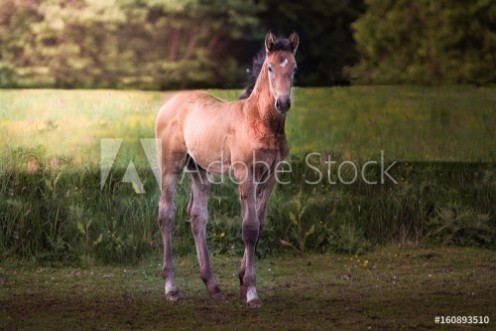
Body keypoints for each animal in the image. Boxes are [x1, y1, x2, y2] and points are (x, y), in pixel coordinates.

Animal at [155, 32, 300, 308]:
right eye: (270, 67)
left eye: (295, 68)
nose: (283, 103)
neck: (261, 122)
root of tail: (169, 103)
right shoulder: (246, 174)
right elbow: (250, 228)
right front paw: (251, 291)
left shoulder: (271, 176)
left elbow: (259, 225)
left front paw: (242, 281)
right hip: (171, 163)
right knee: (166, 212)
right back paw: (171, 288)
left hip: (199, 169)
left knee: (197, 215)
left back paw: (212, 286)